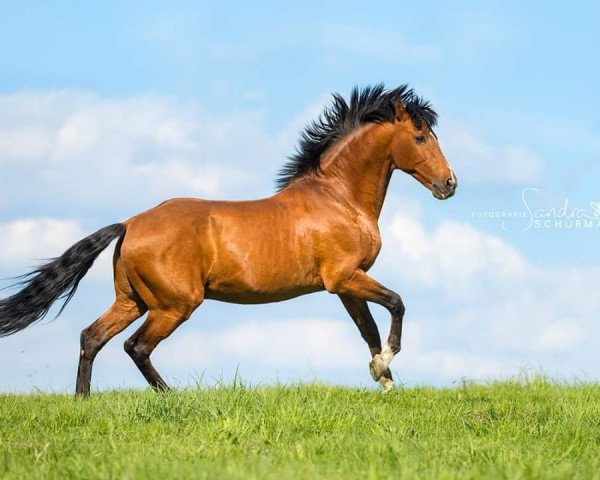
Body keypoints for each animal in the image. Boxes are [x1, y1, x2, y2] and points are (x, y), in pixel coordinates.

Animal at [0, 84, 454, 396]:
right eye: (420, 138)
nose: (450, 184)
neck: (339, 198)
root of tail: (129, 223)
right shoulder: (344, 277)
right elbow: (396, 304)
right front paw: (386, 367)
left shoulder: (345, 285)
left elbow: (368, 329)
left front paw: (384, 380)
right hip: (174, 305)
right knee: (136, 346)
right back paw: (173, 396)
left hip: (132, 300)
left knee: (91, 337)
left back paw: (83, 401)